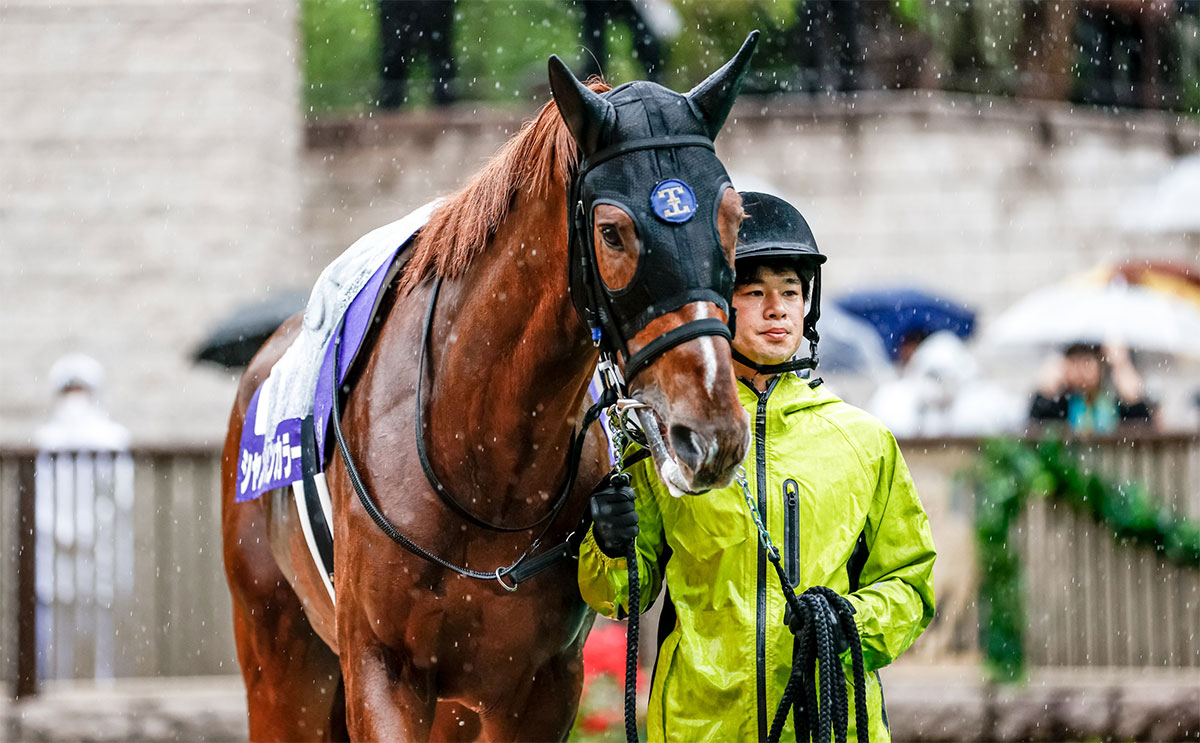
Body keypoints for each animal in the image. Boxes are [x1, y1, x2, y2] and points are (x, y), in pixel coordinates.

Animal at [220, 36, 753, 743]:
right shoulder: (381, 669)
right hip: (281, 663)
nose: (712, 430)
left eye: (733, 218)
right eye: (612, 231)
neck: (479, 456)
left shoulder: (540, 684)